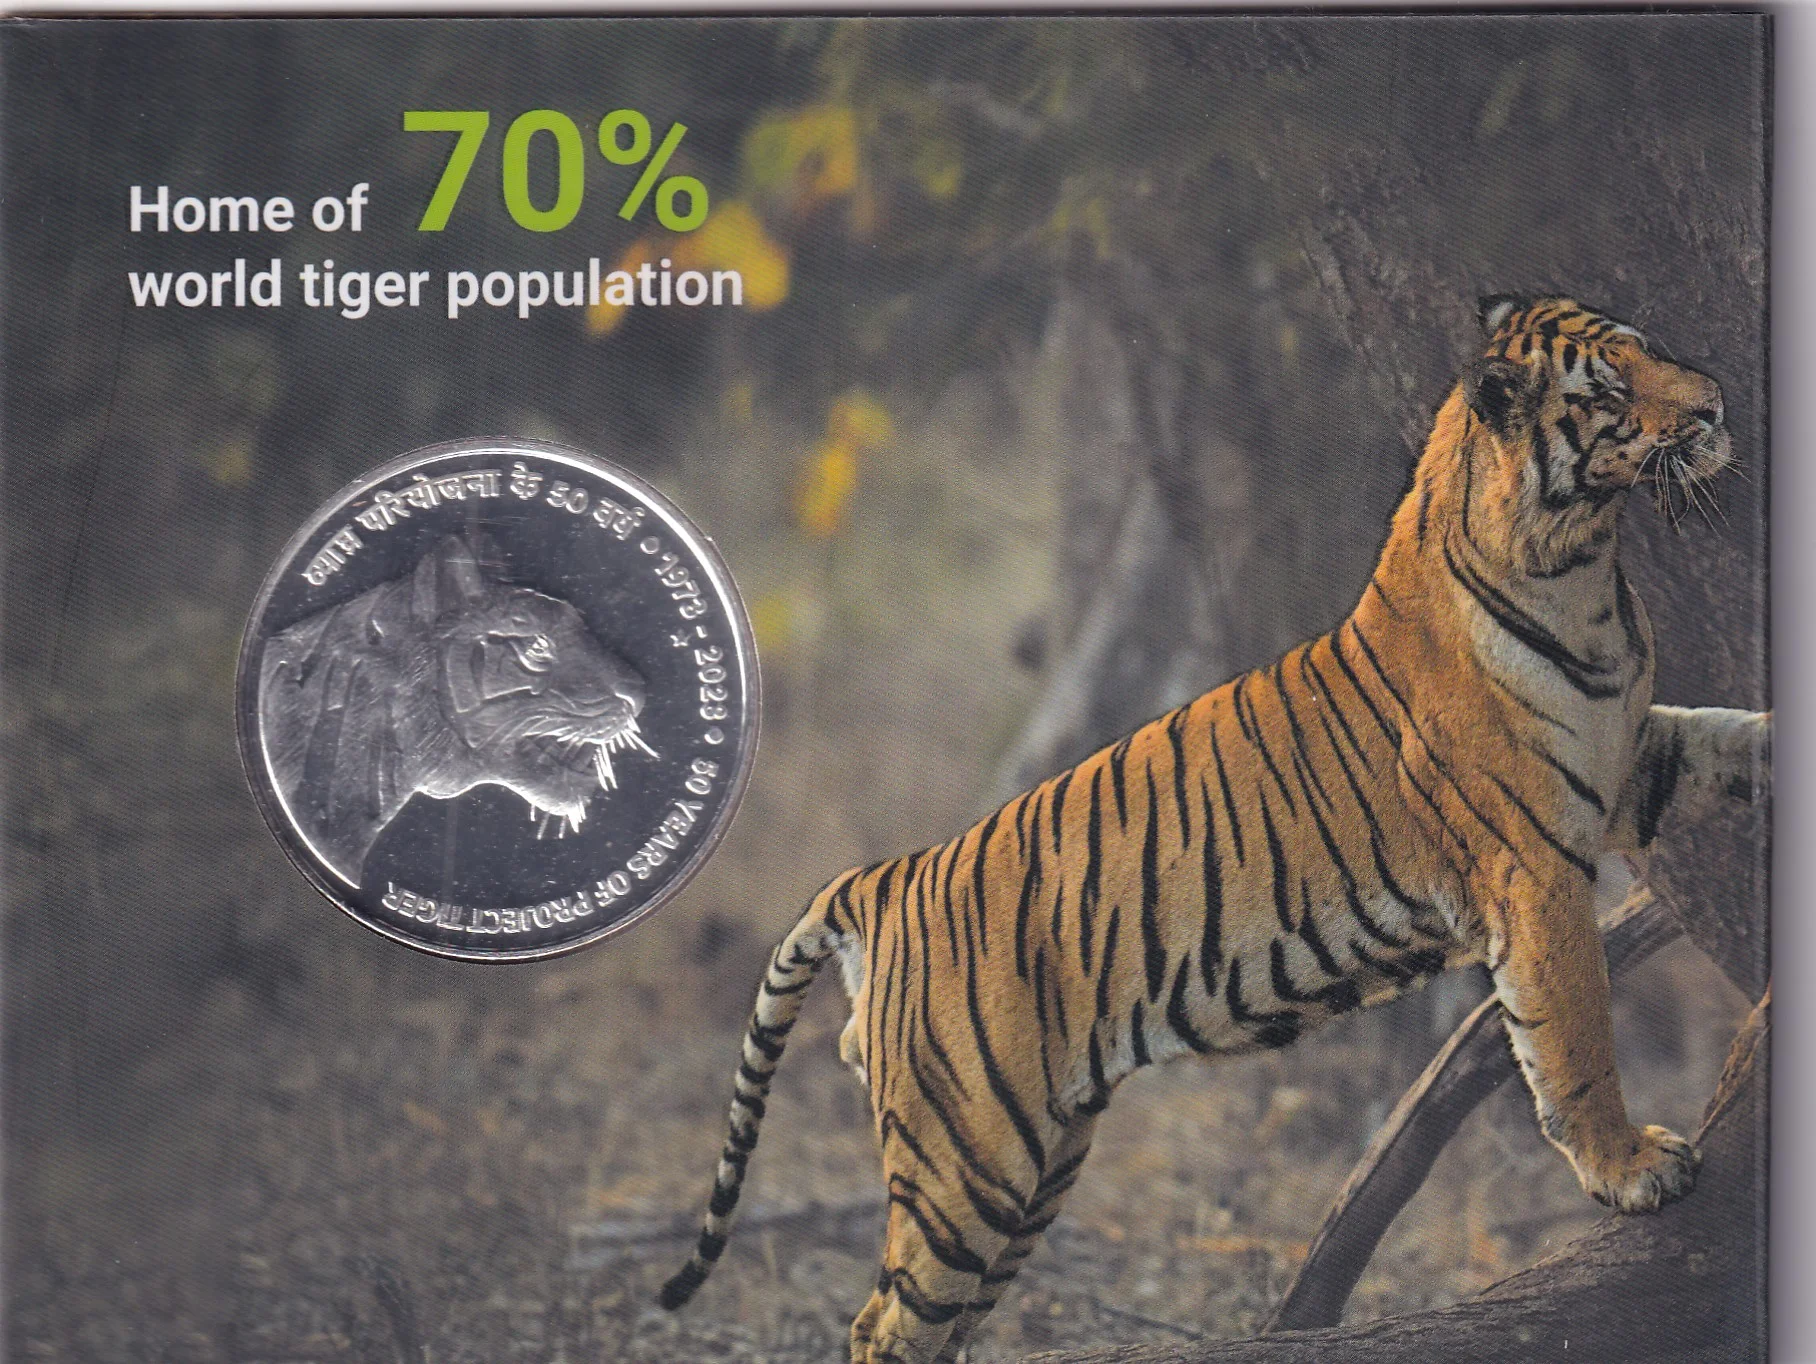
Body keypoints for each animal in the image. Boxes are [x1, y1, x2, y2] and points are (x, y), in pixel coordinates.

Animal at [661, 296, 1771, 1363]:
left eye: (1648, 347)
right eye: (1610, 387)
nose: (1717, 404)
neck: (1587, 569)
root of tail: (886, 877)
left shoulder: (1631, 765)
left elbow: (1733, 735)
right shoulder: (1534, 866)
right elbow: (1573, 1037)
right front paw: (1632, 1170)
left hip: (1037, 1168)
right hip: (967, 1164)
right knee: (884, 1323)